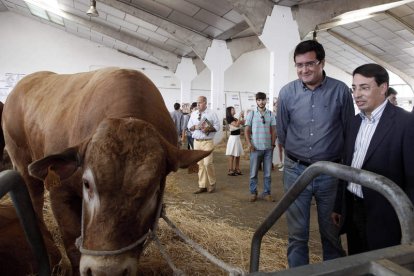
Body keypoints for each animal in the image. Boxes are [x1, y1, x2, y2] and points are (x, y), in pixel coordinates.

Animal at [2, 68, 210, 274]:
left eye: (154, 190)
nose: (106, 271)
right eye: (86, 183)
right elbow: (72, 248)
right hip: (22, 163)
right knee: (34, 200)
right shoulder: (60, 194)